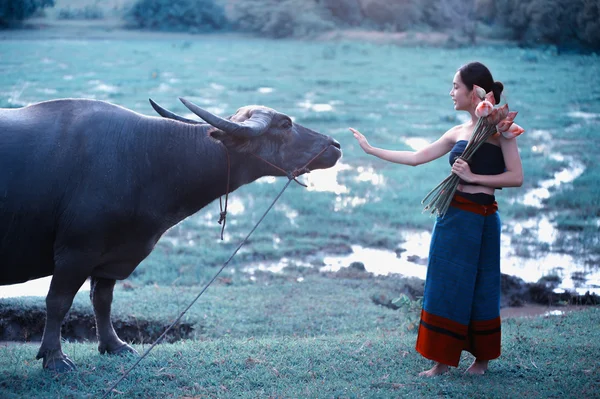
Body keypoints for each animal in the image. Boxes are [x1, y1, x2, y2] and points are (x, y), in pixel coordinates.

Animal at [0, 97, 340, 372]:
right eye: (285, 123)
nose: (335, 145)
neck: (149, 158)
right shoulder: (75, 252)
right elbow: (58, 301)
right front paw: (54, 358)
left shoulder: (114, 254)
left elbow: (102, 300)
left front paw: (113, 345)